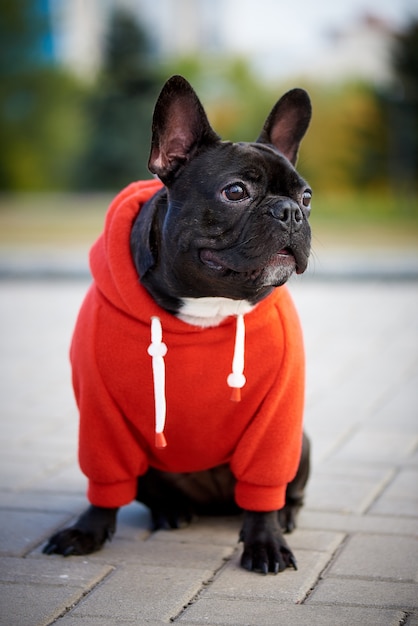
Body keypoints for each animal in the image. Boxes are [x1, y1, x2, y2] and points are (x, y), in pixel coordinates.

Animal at [44, 75, 312, 572]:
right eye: (235, 192)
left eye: (307, 198)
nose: (291, 211)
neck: (207, 308)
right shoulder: (99, 412)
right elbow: (103, 479)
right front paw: (87, 531)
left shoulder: (279, 416)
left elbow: (264, 487)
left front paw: (265, 541)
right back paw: (171, 511)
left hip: (299, 442)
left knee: (282, 492)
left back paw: (284, 515)